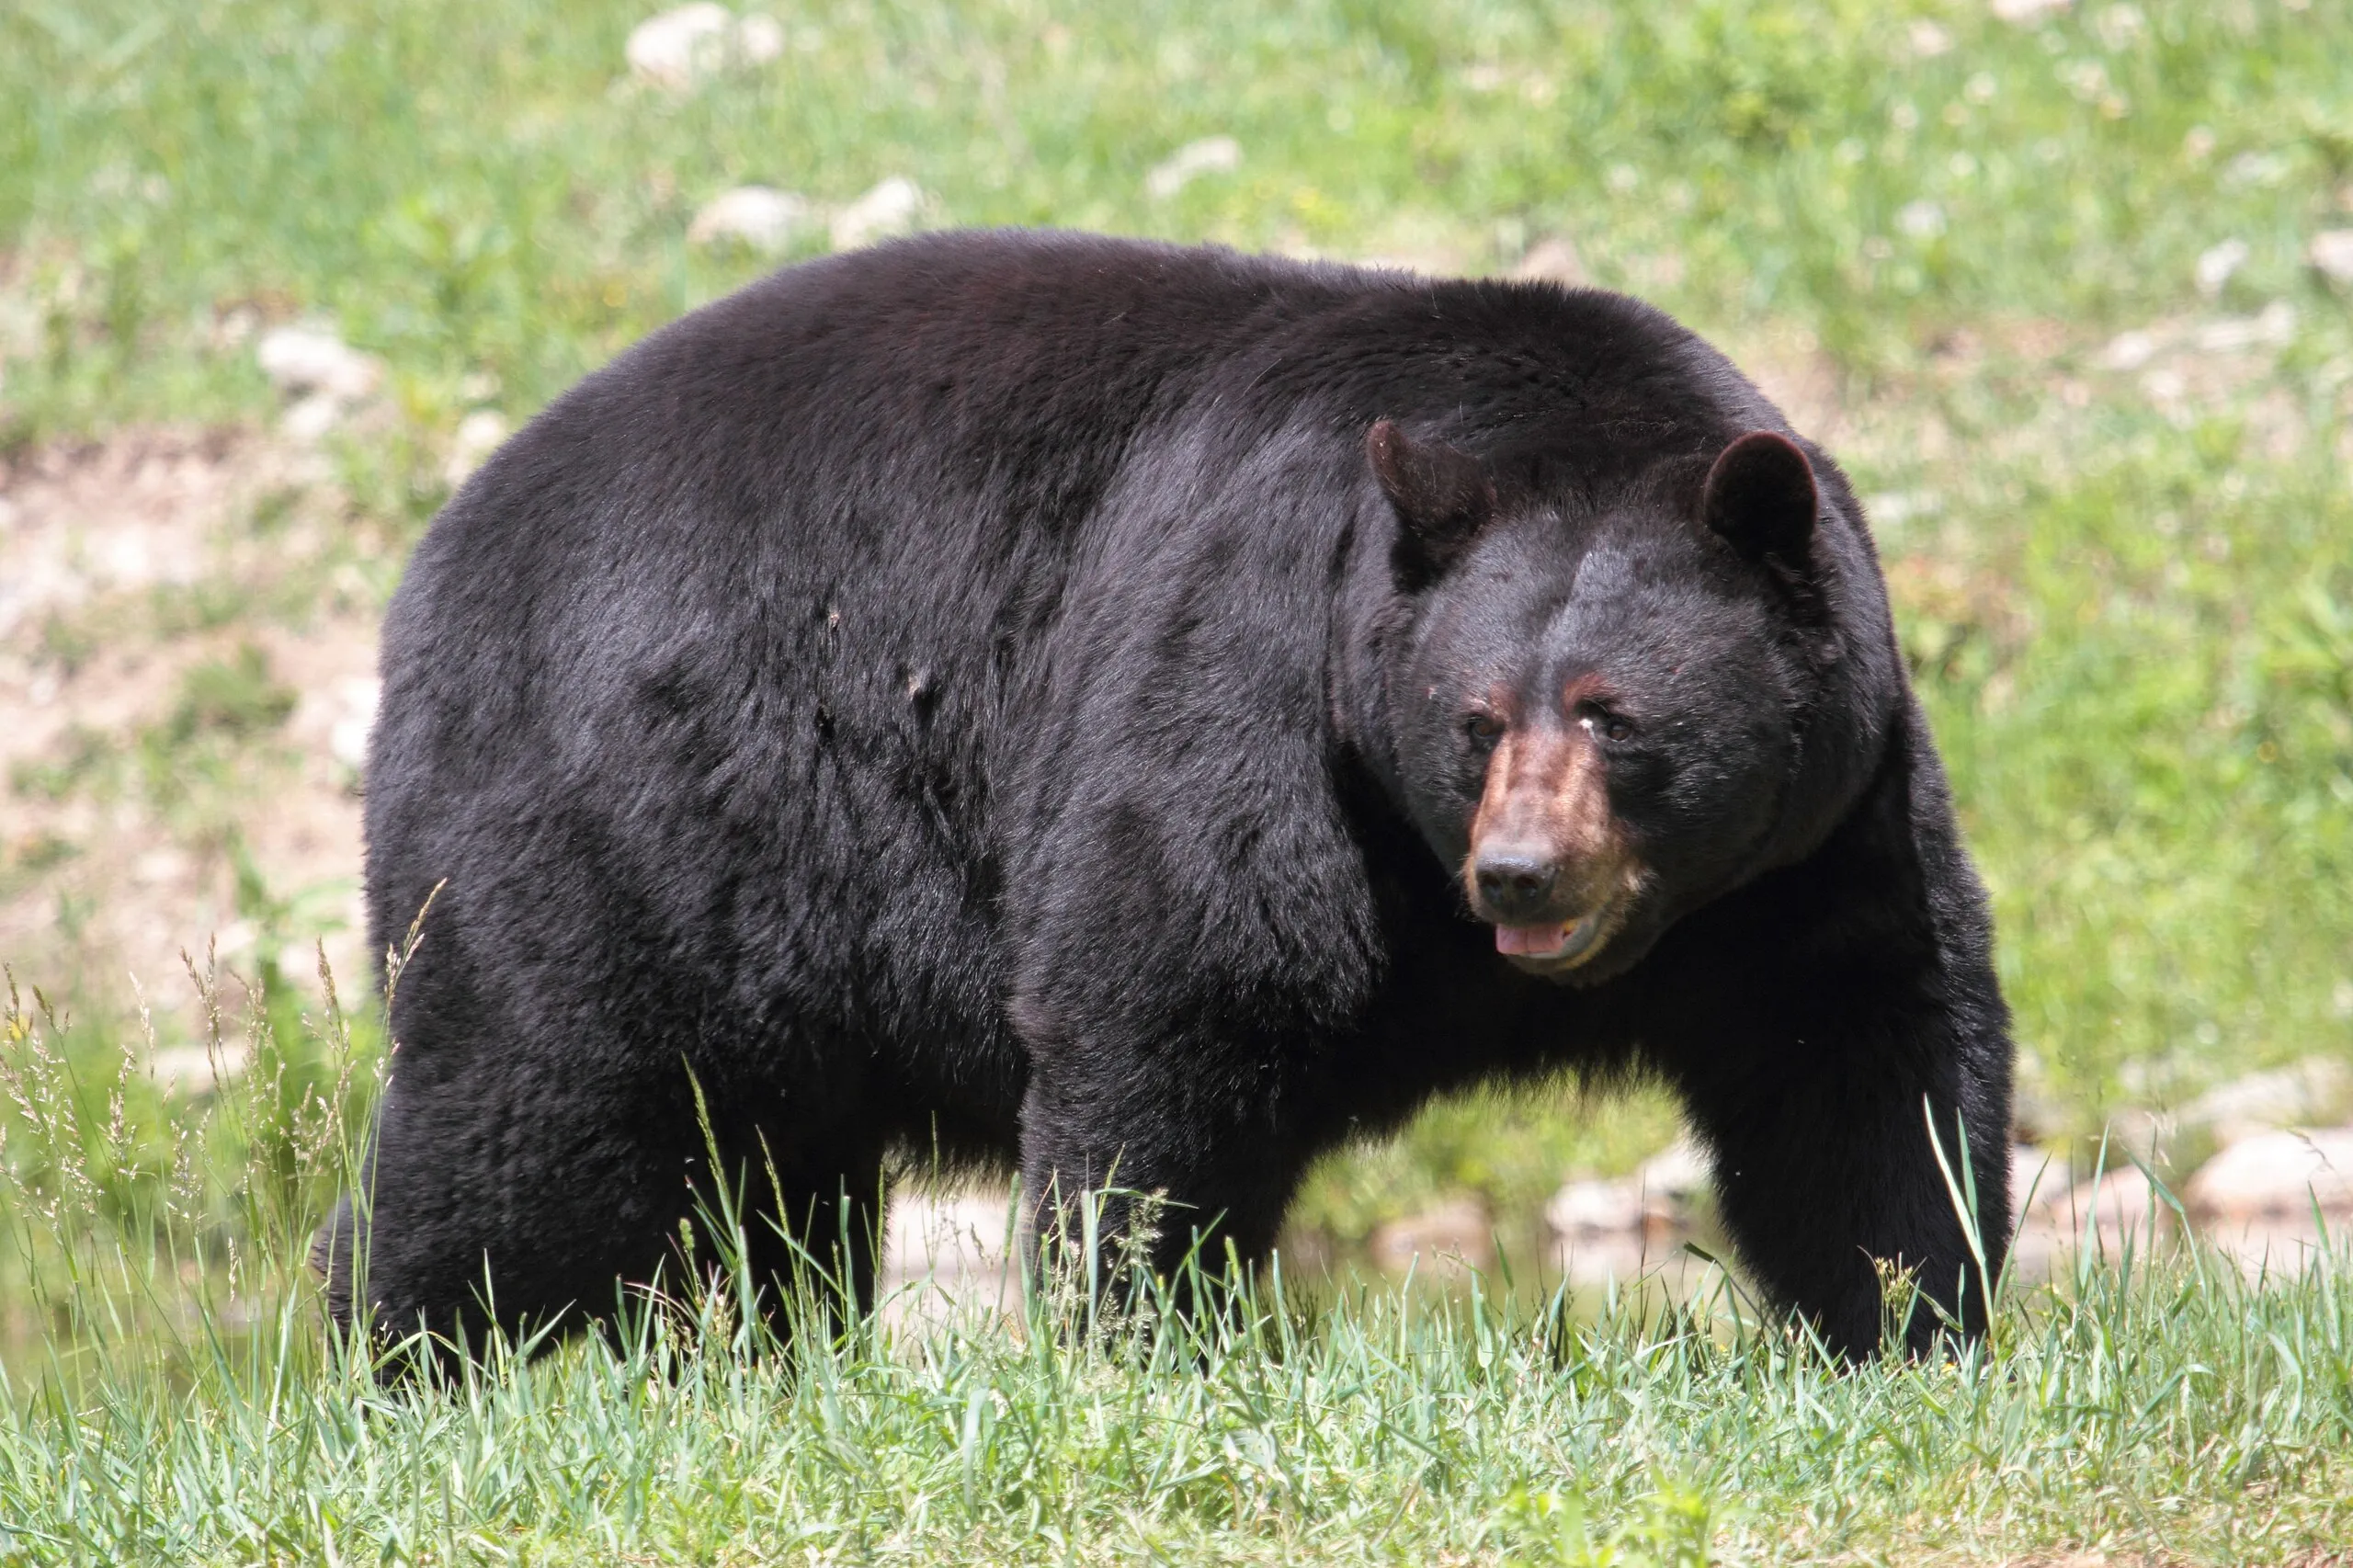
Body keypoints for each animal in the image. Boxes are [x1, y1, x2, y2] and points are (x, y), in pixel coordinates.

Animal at [322, 229, 2014, 1356]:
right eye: (1474, 720)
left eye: (1616, 715)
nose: (1522, 873)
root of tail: (444, 543)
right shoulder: (1254, 667)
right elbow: (1177, 992)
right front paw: (1140, 1332)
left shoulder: (1818, 831)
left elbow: (1864, 1049)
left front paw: (1911, 1317)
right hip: (614, 804)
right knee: (532, 1110)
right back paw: (406, 1349)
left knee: (771, 1171)